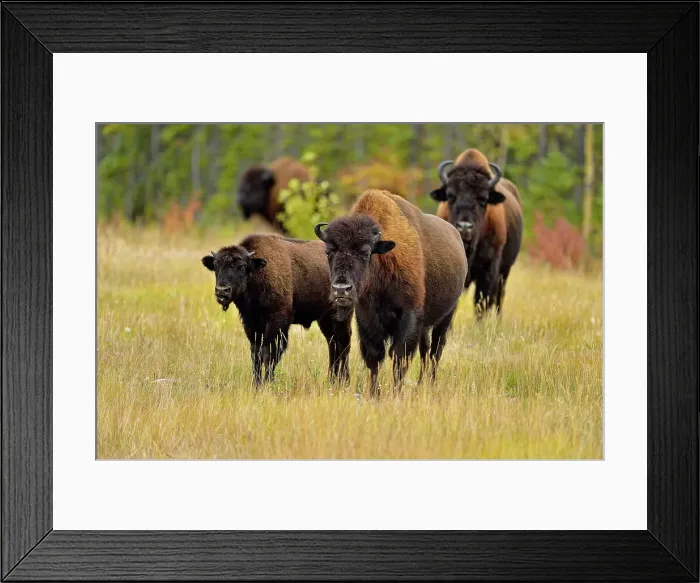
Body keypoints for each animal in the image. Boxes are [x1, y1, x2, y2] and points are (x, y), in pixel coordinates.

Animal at [202, 234, 351, 385]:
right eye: (216, 266)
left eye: (242, 267)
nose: (222, 291)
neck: (258, 273)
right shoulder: (251, 324)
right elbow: (256, 354)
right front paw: (256, 384)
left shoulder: (277, 322)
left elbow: (269, 353)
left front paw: (268, 383)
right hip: (325, 320)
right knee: (333, 344)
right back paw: (332, 380)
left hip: (341, 316)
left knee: (343, 343)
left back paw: (344, 380)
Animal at [314, 189, 467, 398]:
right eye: (328, 252)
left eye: (365, 253)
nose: (341, 289)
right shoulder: (367, 318)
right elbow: (374, 356)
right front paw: (373, 393)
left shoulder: (409, 314)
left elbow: (399, 356)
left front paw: (396, 394)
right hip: (425, 324)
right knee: (425, 349)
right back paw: (420, 385)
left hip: (447, 315)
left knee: (436, 350)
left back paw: (431, 384)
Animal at [430, 148, 523, 319]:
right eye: (451, 196)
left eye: (483, 199)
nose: (464, 227)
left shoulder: (488, 270)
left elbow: (480, 303)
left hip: (505, 271)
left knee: (498, 298)